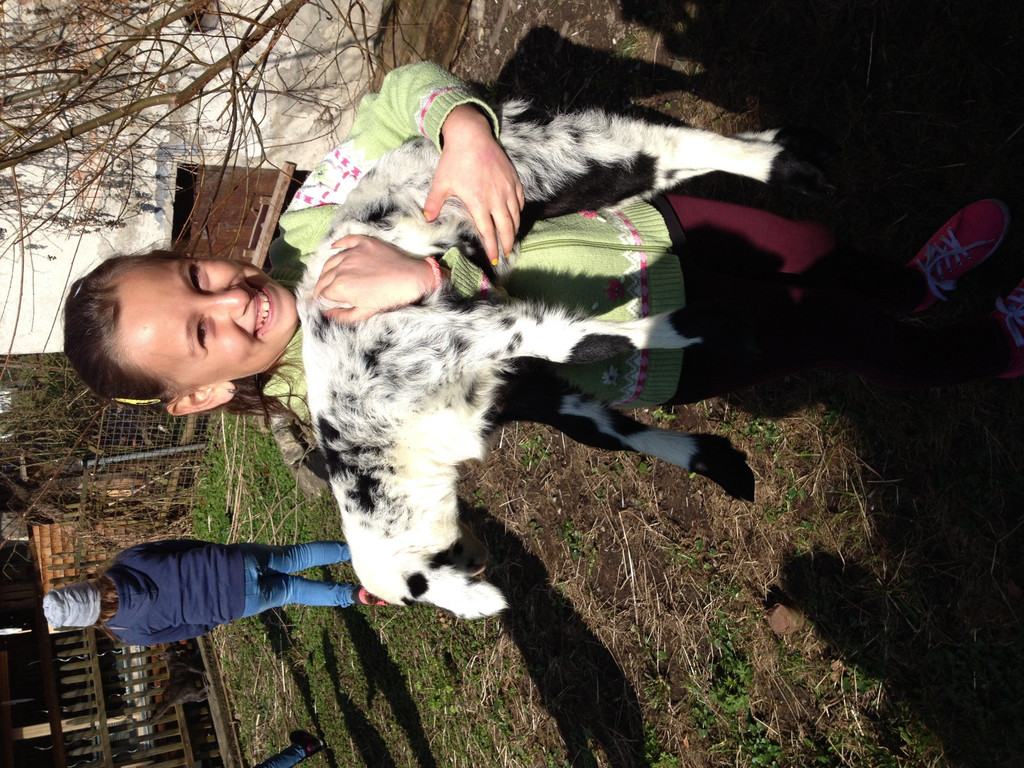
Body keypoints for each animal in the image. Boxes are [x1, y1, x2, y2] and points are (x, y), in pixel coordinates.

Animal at [298, 100, 830, 618]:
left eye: (422, 586)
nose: (481, 561)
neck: (374, 433)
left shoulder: (467, 332)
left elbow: (576, 343)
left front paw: (717, 328)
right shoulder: (514, 391)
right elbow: (602, 428)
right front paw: (718, 462)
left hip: (534, 167)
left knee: (655, 145)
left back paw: (790, 167)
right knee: (660, 159)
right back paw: (791, 149)